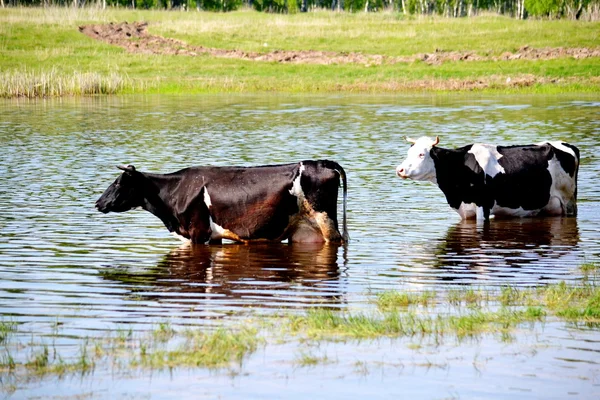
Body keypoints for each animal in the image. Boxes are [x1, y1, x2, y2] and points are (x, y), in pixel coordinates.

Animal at [96, 159, 350, 244]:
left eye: (118, 182)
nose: (98, 203)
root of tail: (321, 162)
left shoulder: (198, 232)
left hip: (326, 221)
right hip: (304, 232)